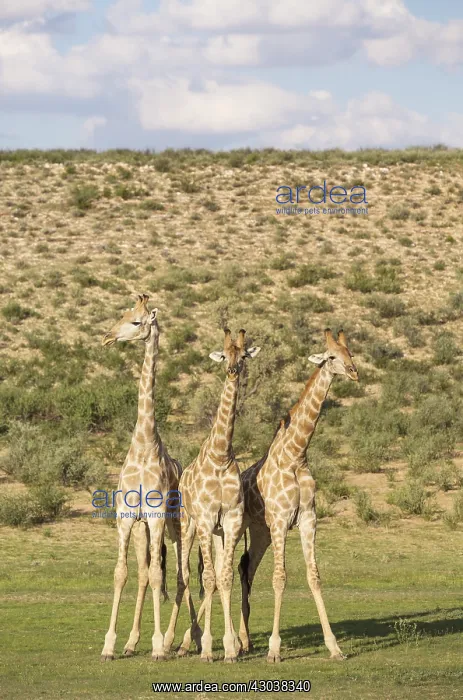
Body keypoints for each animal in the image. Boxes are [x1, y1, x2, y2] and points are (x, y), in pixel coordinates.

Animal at [175, 328, 261, 663]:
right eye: (224, 354)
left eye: (244, 354)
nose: (232, 370)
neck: (220, 454)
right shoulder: (205, 520)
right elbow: (209, 579)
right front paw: (209, 648)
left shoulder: (232, 521)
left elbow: (224, 579)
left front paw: (231, 648)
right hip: (189, 525)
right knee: (187, 574)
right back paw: (182, 642)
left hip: (219, 532)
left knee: (213, 577)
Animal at [237, 328, 359, 663]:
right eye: (330, 356)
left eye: (351, 353)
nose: (354, 372)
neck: (295, 455)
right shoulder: (280, 520)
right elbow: (280, 578)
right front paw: (274, 650)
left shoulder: (307, 518)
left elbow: (314, 576)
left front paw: (334, 647)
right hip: (243, 527)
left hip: (260, 531)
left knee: (245, 568)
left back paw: (244, 640)